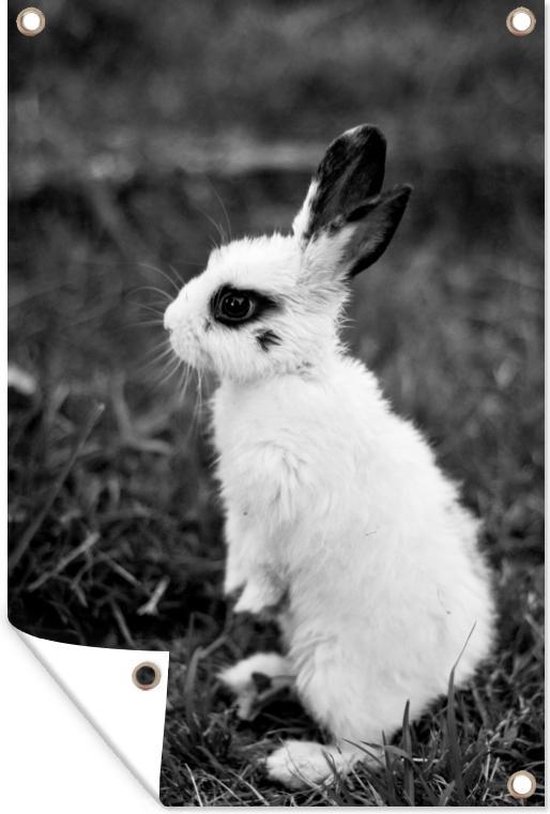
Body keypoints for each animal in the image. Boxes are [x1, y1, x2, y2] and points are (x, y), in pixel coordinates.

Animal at [163, 124, 495, 789]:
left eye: (233, 306)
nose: (167, 324)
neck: (287, 375)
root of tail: (447, 675)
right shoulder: (240, 512)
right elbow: (240, 554)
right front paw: (237, 594)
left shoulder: (277, 502)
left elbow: (265, 564)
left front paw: (251, 601)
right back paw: (255, 673)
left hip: (336, 672)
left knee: (370, 750)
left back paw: (295, 762)